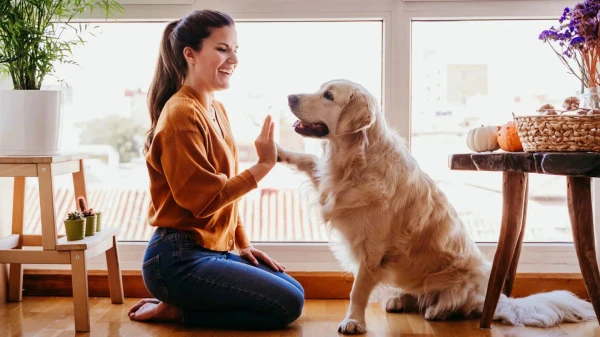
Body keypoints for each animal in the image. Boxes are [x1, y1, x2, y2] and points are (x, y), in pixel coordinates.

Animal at [276, 79, 596, 334]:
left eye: (329, 95)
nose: (289, 97)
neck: (355, 159)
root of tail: (495, 298)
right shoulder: (330, 187)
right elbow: (308, 160)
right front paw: (278, 151)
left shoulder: (373, 250)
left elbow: (358, 290)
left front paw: (353, 321)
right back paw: (400, 300)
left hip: (463, 279)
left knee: (454, 304)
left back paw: (437, 310)